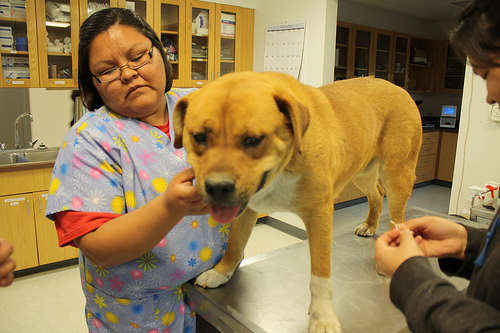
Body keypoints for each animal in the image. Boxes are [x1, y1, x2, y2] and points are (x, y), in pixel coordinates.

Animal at [172, 71, 422, 330]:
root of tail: (397, 87)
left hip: (397, 175)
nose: (217, 186)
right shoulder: (247, 210)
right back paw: (370, 225)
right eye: (199, 137)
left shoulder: (319, 215)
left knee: (397, 216)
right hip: (362, 174)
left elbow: (320, 275)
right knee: (377, 194)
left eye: (253, 140)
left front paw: (323, 317)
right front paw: (220, 273)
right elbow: (234, 245)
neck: (283, 165)